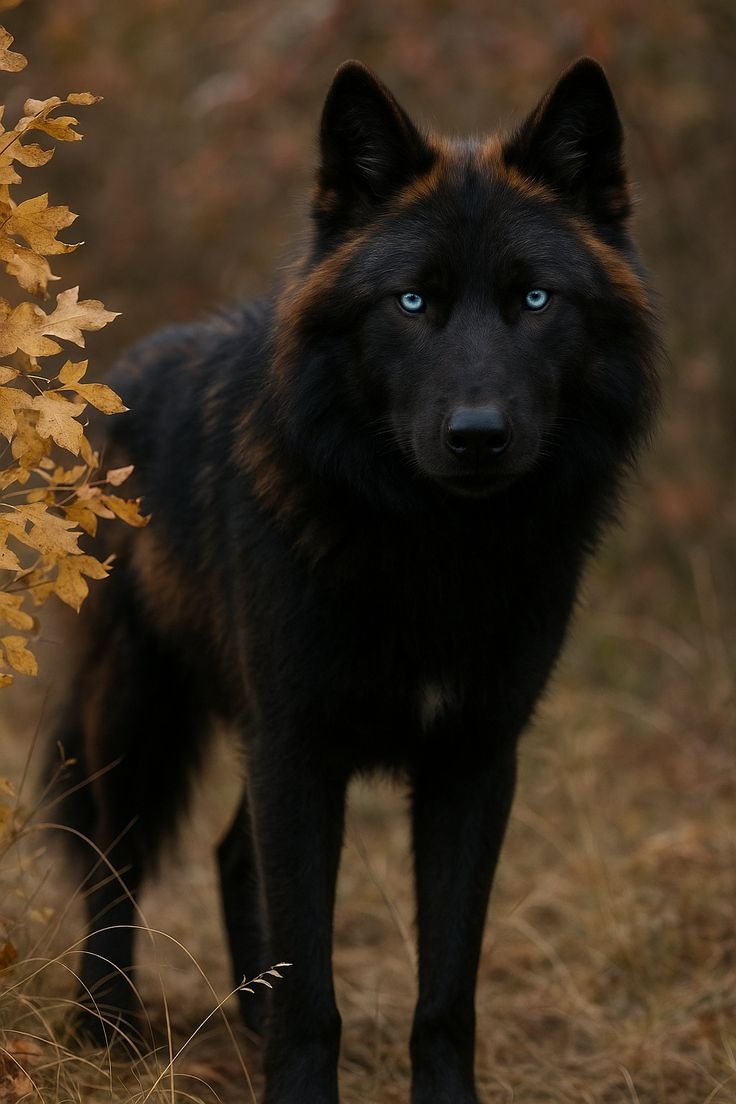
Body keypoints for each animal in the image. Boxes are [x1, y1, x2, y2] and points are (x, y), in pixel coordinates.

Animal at [45, 57, 660, 1103]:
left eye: (535, 301)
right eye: (412, 303)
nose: (478, 435)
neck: (436, 551)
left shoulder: (472, 763)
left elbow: (445, 994)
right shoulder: (297, 749)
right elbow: (314, 994)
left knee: (229, 855)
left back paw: (239, 1020)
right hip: (138, 714)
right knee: (112, 863)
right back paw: (104, 1030)